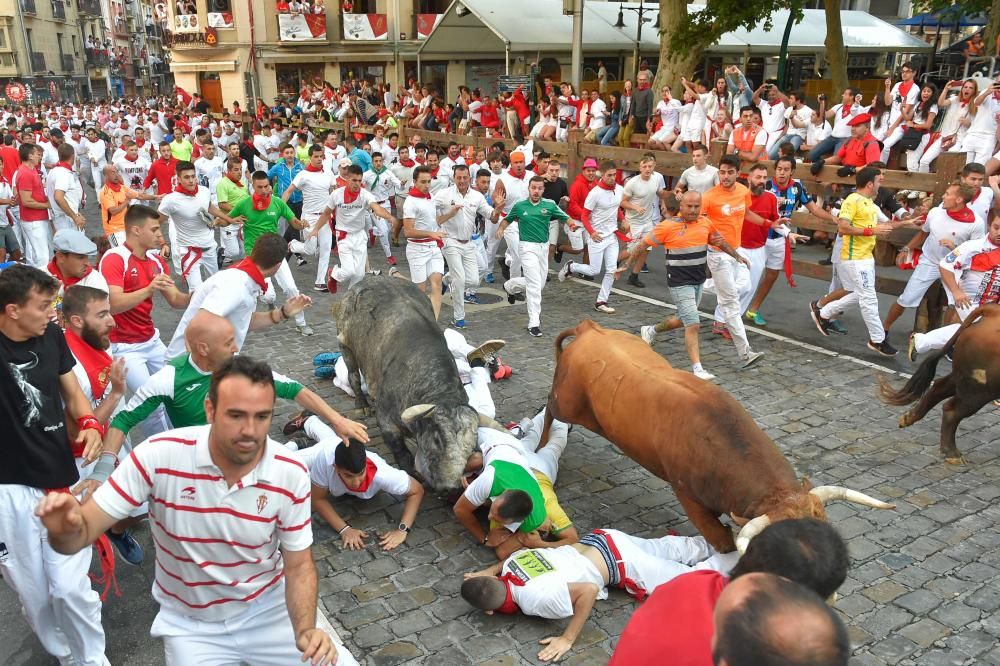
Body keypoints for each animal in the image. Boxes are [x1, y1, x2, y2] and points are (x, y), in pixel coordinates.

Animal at [336, 274, 492, 488]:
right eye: (437, 439)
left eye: (469, 448)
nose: (450, 486)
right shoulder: (386, 420)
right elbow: (401, 452)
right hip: (346, 345)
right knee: (353, 375)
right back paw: (362, 404)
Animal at [536, 320, 896, 552]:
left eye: (824, 526)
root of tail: (590, 329)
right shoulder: (689, 496)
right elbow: (721, 540)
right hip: (567, 401)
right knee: (550, 407)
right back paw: (539, 445)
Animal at [880, 304, 996, 462]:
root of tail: (993, 312)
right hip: (979, 390)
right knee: (951, 409)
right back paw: (952, 453)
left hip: (966, 378)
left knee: (939, 387)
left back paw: (908, 418)